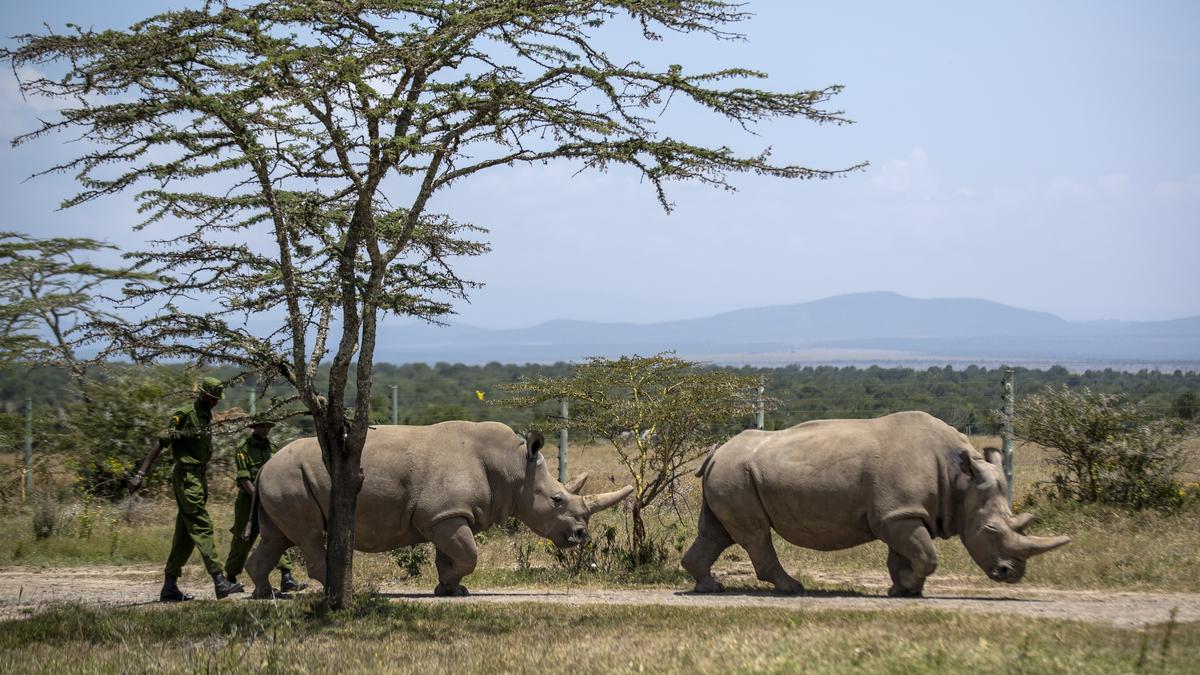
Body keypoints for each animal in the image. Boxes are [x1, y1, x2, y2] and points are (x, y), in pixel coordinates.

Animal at [246, 421, 632, 598]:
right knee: (308, 535)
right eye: (556, 500)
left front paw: (449, 591)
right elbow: (470, 555)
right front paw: (451, 589)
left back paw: (265, 594)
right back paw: (345, 592)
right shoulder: (444, 514)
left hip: (282, 478)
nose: (580, 535)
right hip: (289, 478)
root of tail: (264, 466)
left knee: (275, 538)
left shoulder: (446, 515)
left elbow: (452, 556)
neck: (512, 467)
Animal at [681, 411, 1069, 597]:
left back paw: (709, 587)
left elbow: (905, 556)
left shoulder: (901, 513)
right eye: (990, 530)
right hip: (736, 473)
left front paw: (904, 590)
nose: (1010, 574)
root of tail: (717, 452)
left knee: (719, 533)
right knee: (755, 534)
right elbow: (927, 556)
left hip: (732, 473)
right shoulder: (899, 514)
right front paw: (909, 586)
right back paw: (792, 588)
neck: (960, 479)